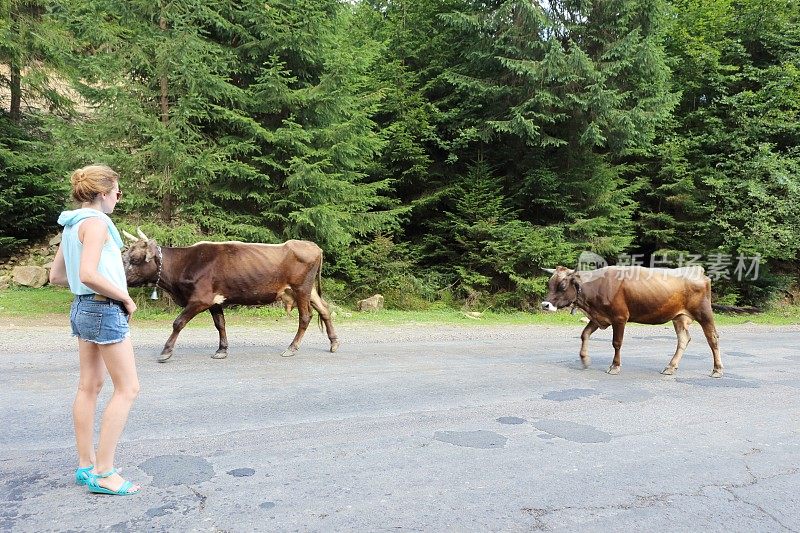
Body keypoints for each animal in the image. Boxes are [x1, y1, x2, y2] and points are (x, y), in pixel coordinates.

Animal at [120, 231, 340, 364]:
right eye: (125, 256)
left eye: (136, 259)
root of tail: (312, 245)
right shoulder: (215, 300)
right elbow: (220, 324)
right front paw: (222, 350)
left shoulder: (201, 299)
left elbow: (178, 322)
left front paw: (166, 352)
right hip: (307, 290)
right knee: (325, 309)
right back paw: (334, 343)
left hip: (301, 288)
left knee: (306, 317)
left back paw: (292, 348)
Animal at [540, 264, 720, 376]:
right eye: (549, 284)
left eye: (562, 286)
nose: (545, 305)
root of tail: (697, 270)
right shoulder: (600, 318)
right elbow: (584, 334)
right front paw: (584, 359)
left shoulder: (619, 318)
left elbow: (616, 343)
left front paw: (615, 366)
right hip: (679, 318)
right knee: (683, 339)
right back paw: (670, 367)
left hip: (704, 313)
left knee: (712, 338)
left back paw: (717, 370)